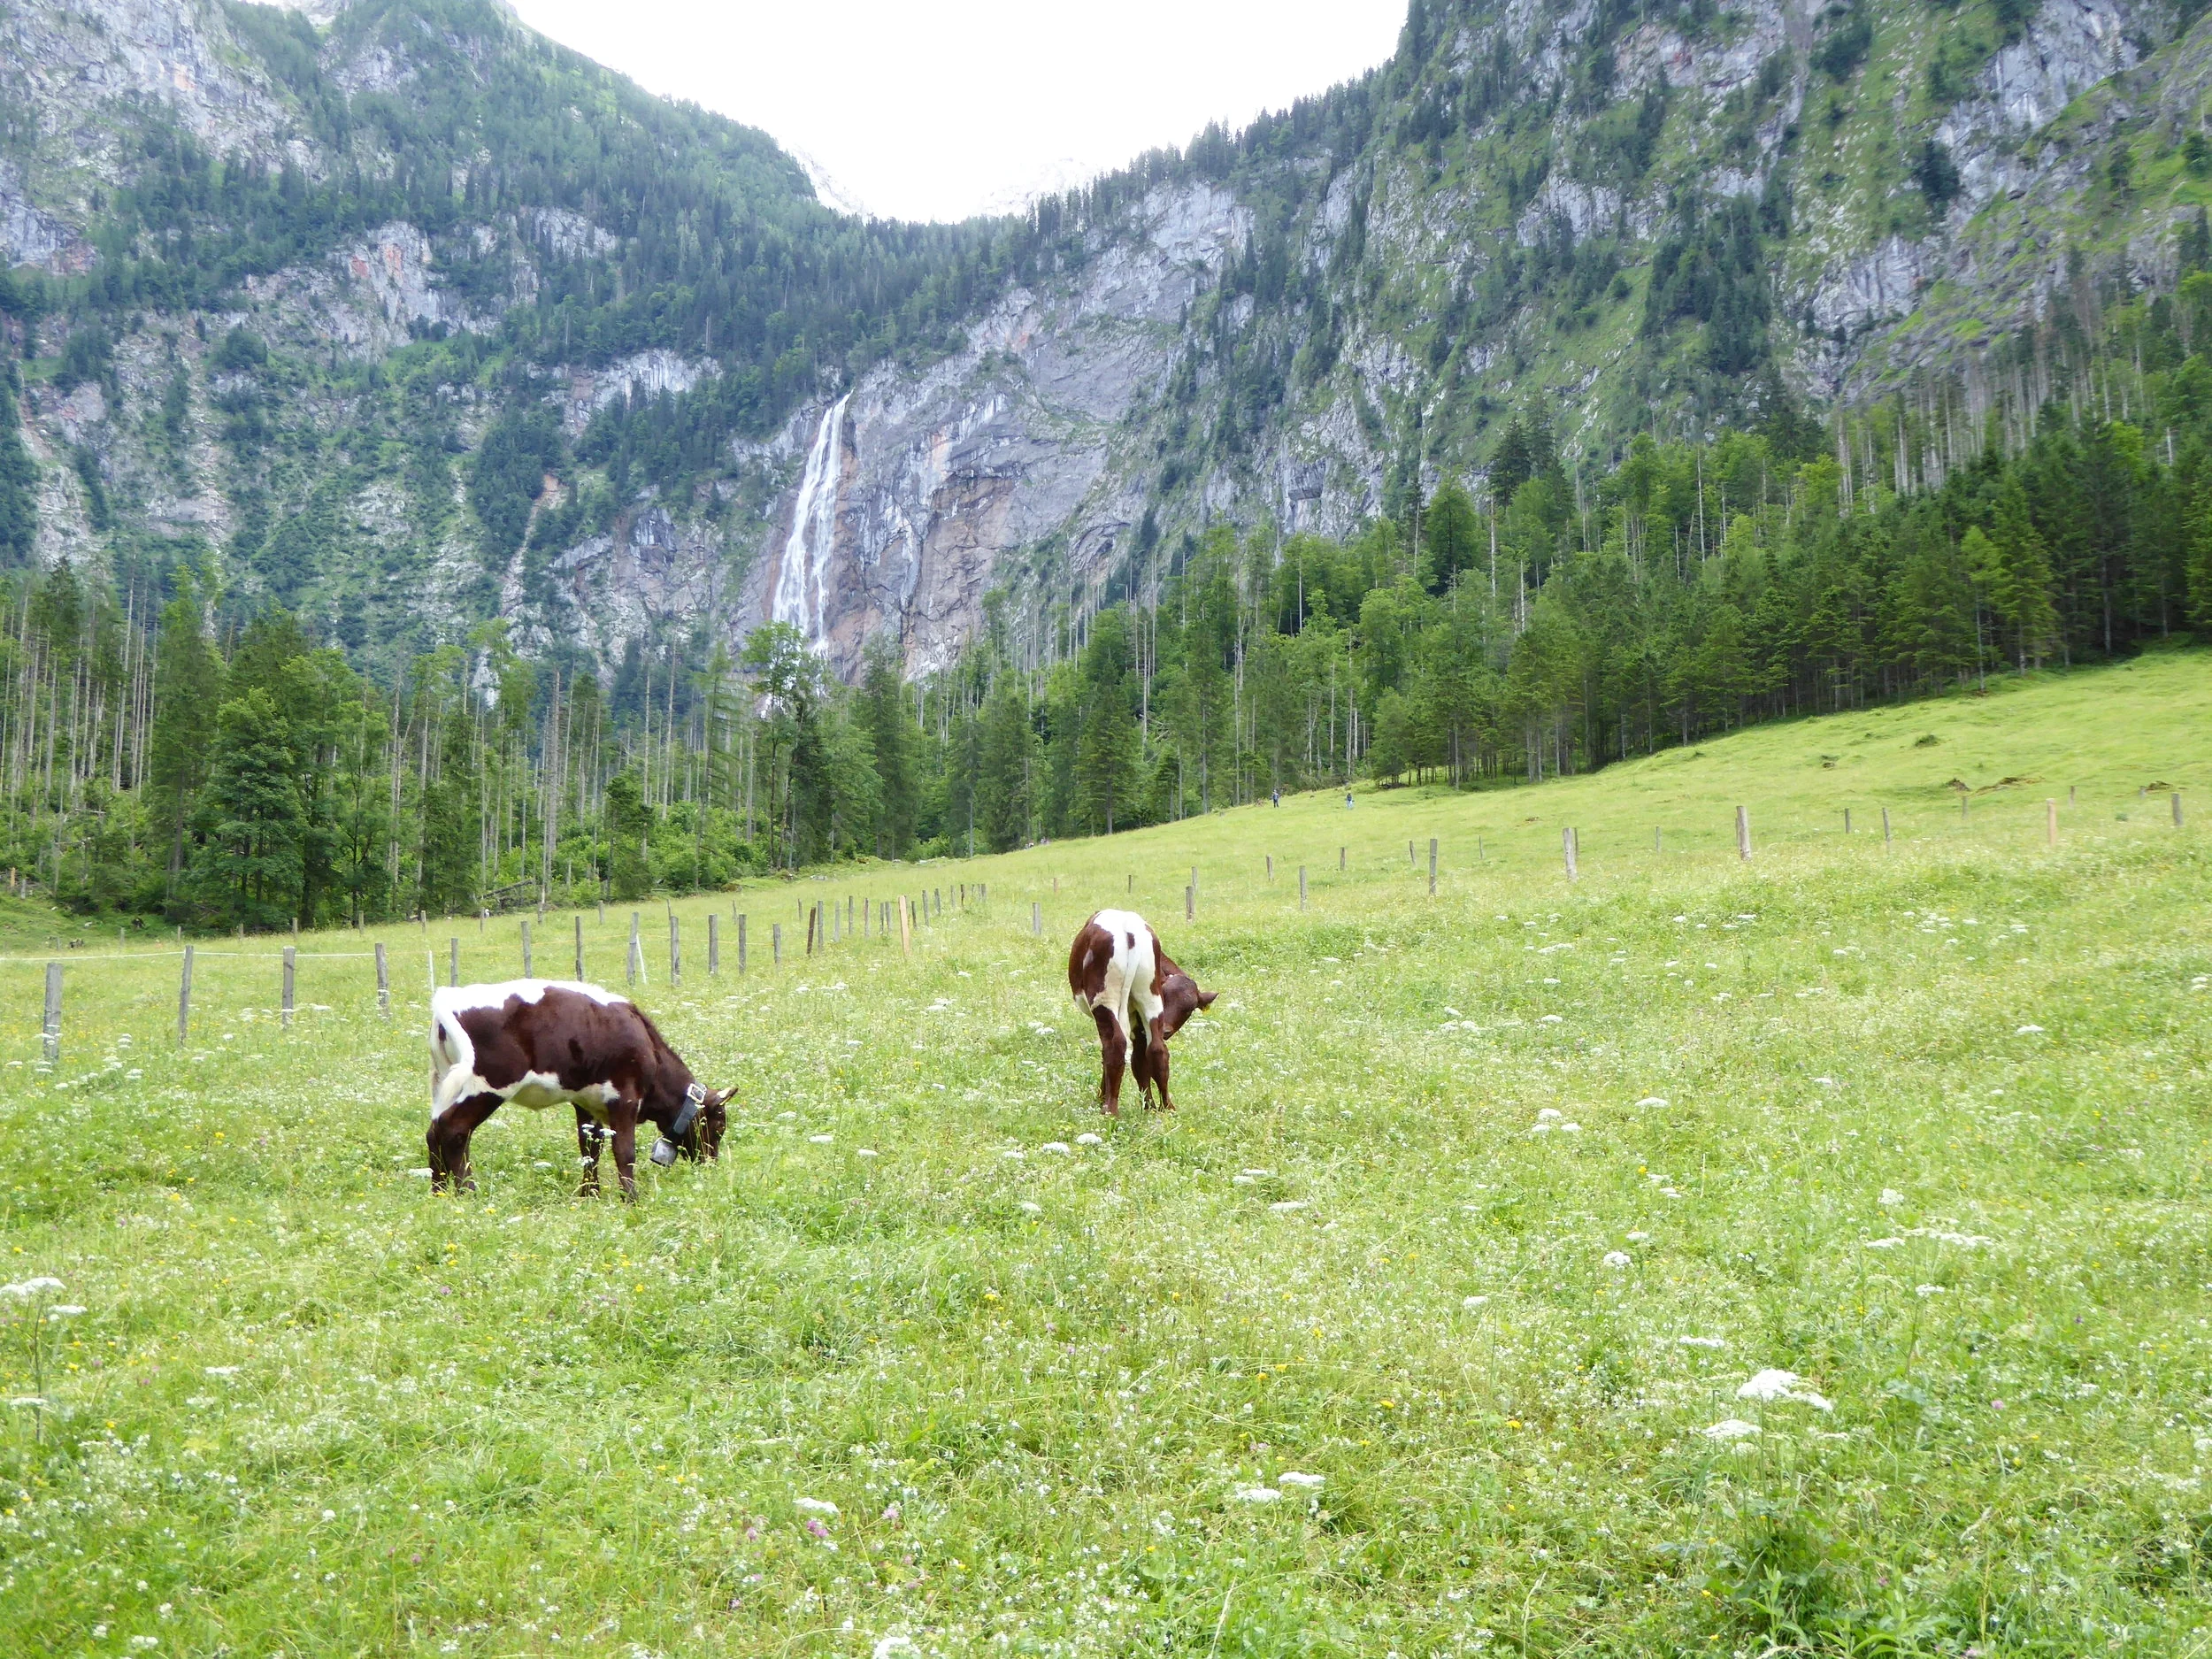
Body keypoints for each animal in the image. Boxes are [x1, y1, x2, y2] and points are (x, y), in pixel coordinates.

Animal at [427, 980, 727, 1199]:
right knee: (455, 1130)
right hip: (488, 1085)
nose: (713, 1165)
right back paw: (468, 1192)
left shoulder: (587, 1103)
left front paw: (590, 1195)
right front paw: (631, 1199)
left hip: (445, 1084)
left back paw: (438, 1192)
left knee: (435, 1131)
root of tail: (451, 997)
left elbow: (590, 1150)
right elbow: (625, 1151)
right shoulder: (625, 1099)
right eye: (719, 1126)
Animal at [1066, 909, 1217, 1115]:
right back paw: (1166, 1107)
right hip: (1150, 1001)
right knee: (1157, 1049)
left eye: (1188, 1010)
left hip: (1105, 1001)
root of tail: (1129, 928)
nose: (1167, 1030)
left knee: (1115, 1045)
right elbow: (1140, 1061)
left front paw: (1101, 1098)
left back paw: (1110, 1109)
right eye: (1167, 997)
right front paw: (1148, 1106)